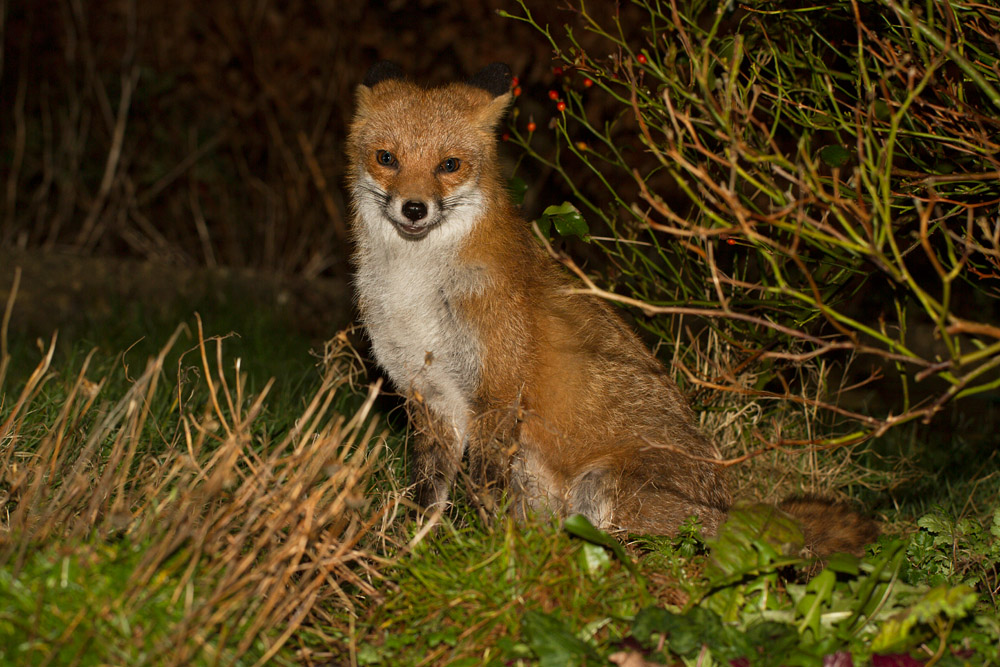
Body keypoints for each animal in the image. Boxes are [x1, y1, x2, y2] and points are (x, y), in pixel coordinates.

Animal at [346, 61, 878, 558]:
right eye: (387, 158)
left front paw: (487, 550)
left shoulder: (497, 390)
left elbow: (482, 488)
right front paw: (411, 552)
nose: (415, 208)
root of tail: (729, 509)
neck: (415, 288)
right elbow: (428, 493)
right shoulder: (429, 395)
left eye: (449, 164)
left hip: (601, 485)